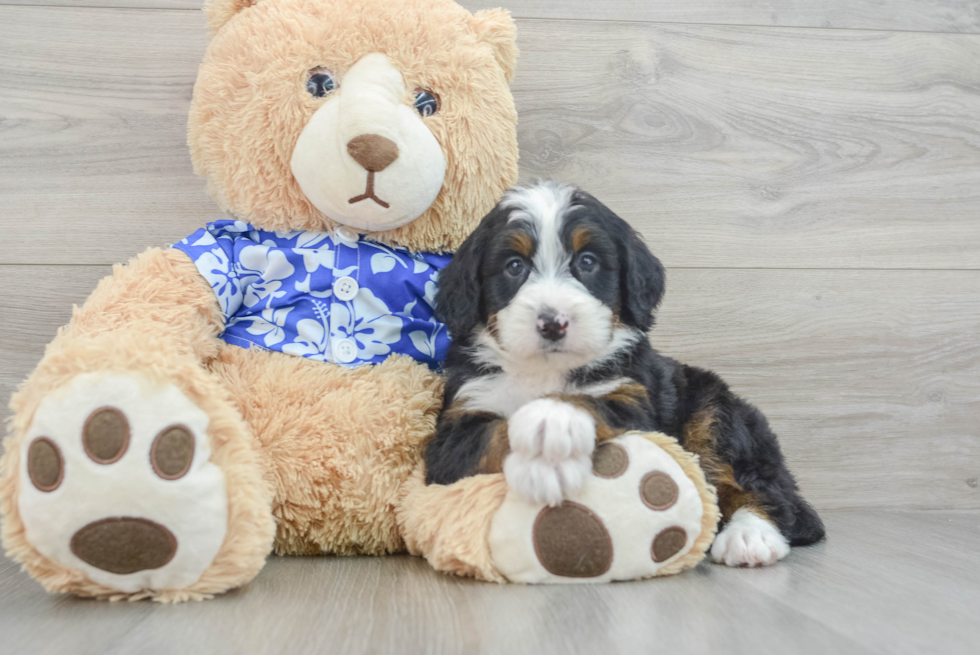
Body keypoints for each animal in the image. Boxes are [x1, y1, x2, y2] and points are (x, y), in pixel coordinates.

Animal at [428, 182, 828, 568]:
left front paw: (552, 420)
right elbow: (492, 434)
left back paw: (749, 537)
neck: (546, 370)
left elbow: (586, 402)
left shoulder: (634, 399)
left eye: (587, 261)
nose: (553, 323)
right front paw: (543, 463)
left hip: (714, 412)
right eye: (514, 266)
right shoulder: (453, 433)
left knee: (757, 486)